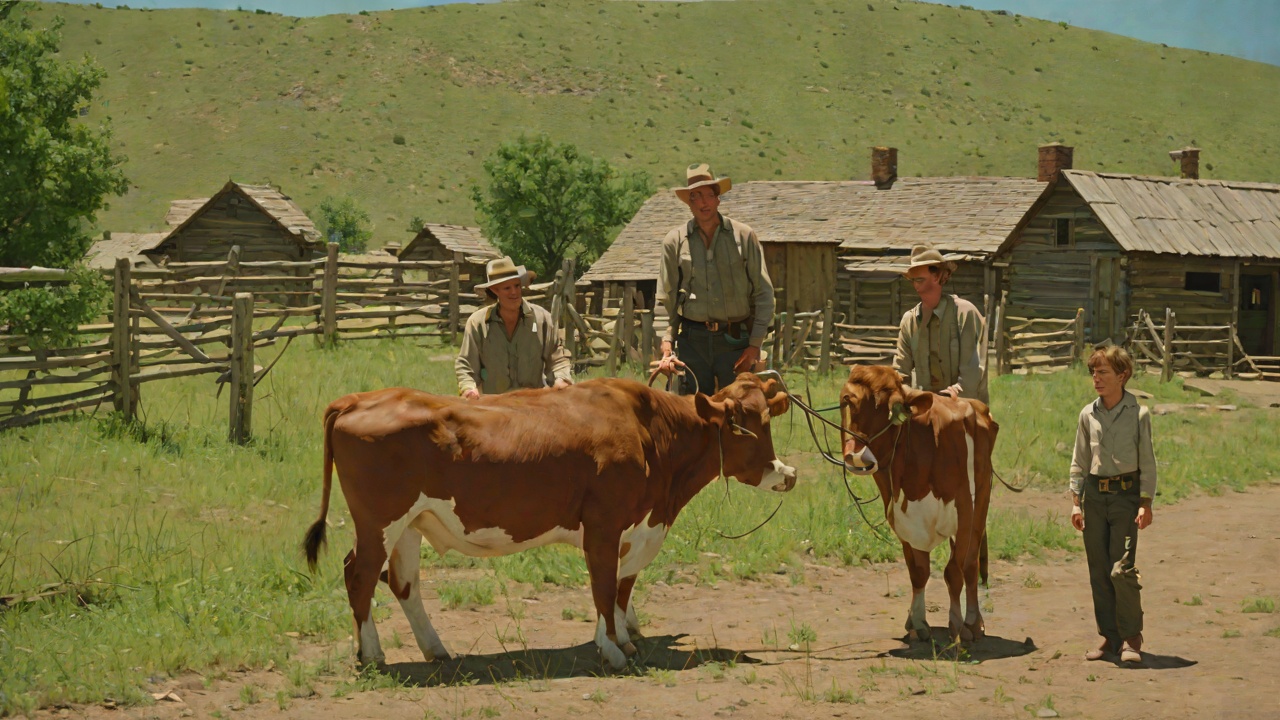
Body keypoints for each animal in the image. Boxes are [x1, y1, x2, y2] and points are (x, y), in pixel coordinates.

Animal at [303, 373, 795, 670]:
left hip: (409, 524)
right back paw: (372, 654)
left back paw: (435, 649)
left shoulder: (635, 526)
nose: (788, 474)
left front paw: (624, 639)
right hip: (380, 521)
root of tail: (356, 399)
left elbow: (622, 585)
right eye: (752, 425)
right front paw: (612, 648)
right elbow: (605, 586)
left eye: (767, 418)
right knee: (360, 575)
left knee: (403, 584)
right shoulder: (604, 524)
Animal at [839, 364, 997, 644]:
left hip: (980, 508)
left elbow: (954, 571)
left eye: (893, 408)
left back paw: (973, 622)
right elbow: (918, 572)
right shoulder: (904, 522)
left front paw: (957, 625)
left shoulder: (964, 513)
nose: (856, 457)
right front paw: (918, 622)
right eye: (848, 401)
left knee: (970, 565)